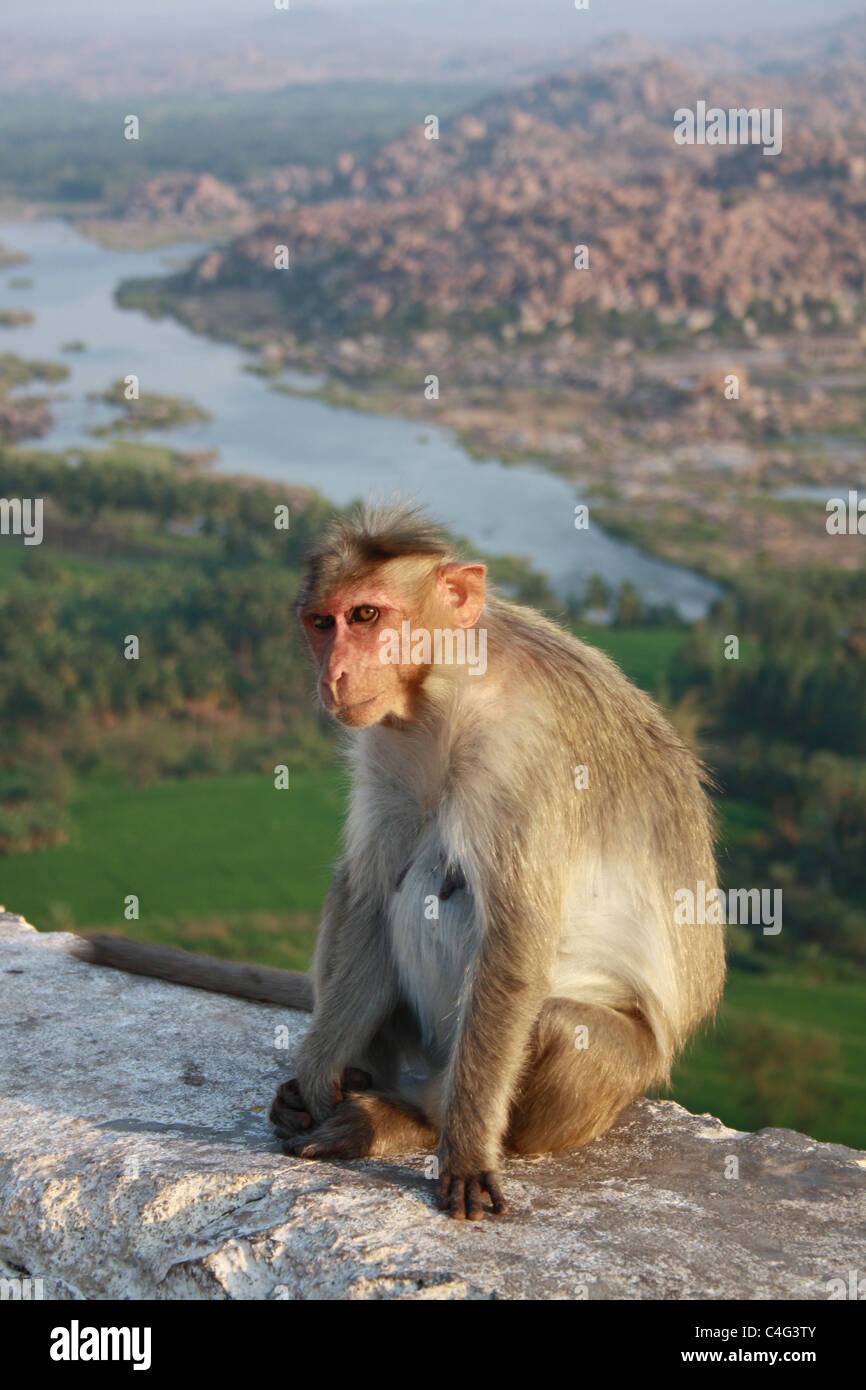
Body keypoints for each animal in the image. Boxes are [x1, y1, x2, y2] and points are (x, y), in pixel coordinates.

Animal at [76, 505, 722, 1223]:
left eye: (366, 616)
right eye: (322, 623)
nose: (333, 674)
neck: (448, 689)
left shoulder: (521, 755)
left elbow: (515, 939)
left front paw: (463, 1152)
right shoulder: (387, 736)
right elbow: (369, 890)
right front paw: (318, 1077)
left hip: (610, 1073)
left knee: (549, 1016)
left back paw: (408, 1122)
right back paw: (351, 1088)